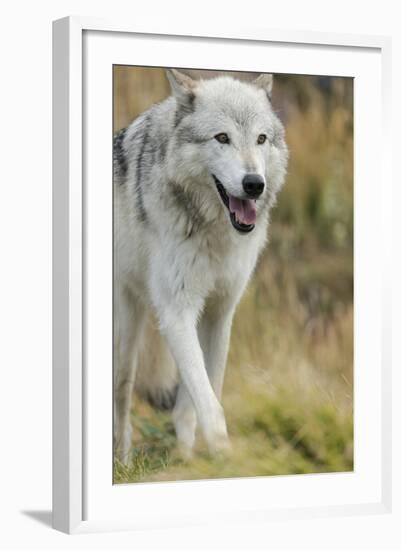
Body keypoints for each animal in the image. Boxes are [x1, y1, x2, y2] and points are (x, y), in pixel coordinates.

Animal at [113, 70, 288, 466]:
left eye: (261, 139)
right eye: (222, 138)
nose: (254, 185)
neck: (213, 233)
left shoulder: (219, 312)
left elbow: (199, 397)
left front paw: (189, 459)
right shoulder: (177, 311)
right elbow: (209, 405)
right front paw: (224, 458)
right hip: (127, 335)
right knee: (122, 397)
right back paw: (123, 463)